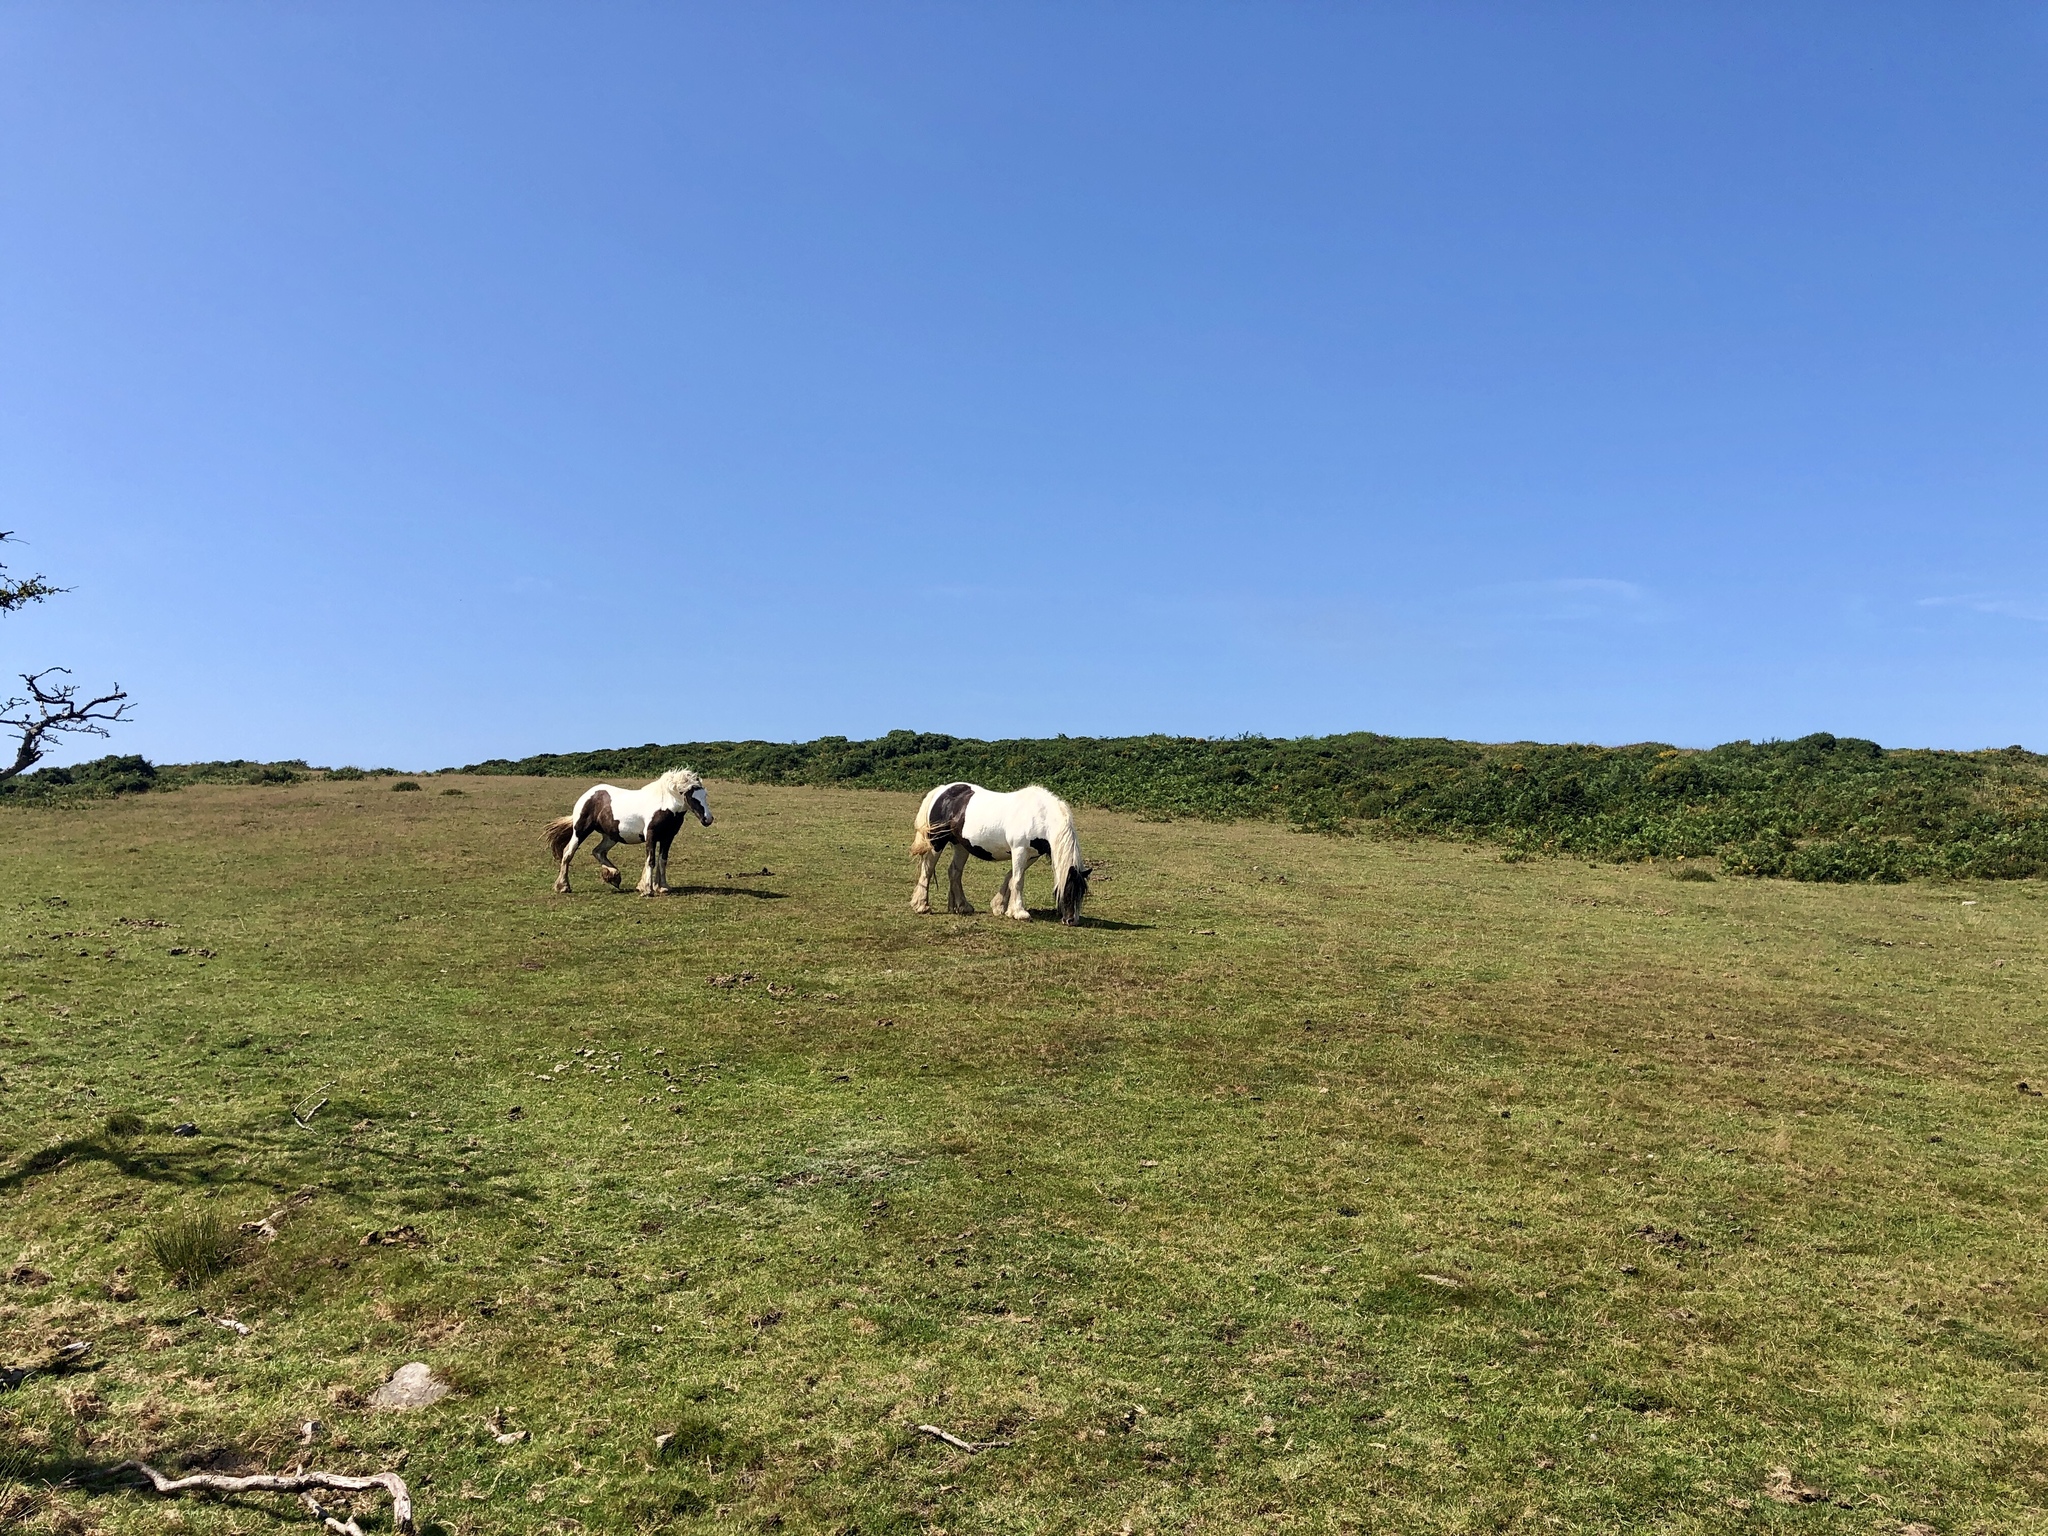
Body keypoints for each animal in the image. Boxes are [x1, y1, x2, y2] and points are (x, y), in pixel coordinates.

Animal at [544, 770, 712, 901]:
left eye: (705, 795)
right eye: (691, 796)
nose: (708, 819)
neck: (664, 805)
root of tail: (587, 795)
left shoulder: (667, 837)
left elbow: (662, 860)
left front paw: (662, 887)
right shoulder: (651, 835)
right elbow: (651, 860)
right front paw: (647, 889)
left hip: (611, 837)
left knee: (598, 851)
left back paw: (613, 876)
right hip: (581, 831)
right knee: (568, 853)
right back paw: (563, 886)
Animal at [909, 782, 1089, 925]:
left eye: (1082, 893)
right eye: (1067, 890)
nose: (1072, 921)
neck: (1040, 816)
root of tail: (942, 790)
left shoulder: (1031, 855)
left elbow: (1011, 877)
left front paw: (1001, 907)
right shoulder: (1019, 850)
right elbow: (1018, 880)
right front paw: (1020, 913)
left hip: (961, 846)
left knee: (954, 872)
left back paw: (962, 906)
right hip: (936, 842)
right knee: (927, 869)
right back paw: (921, 905)